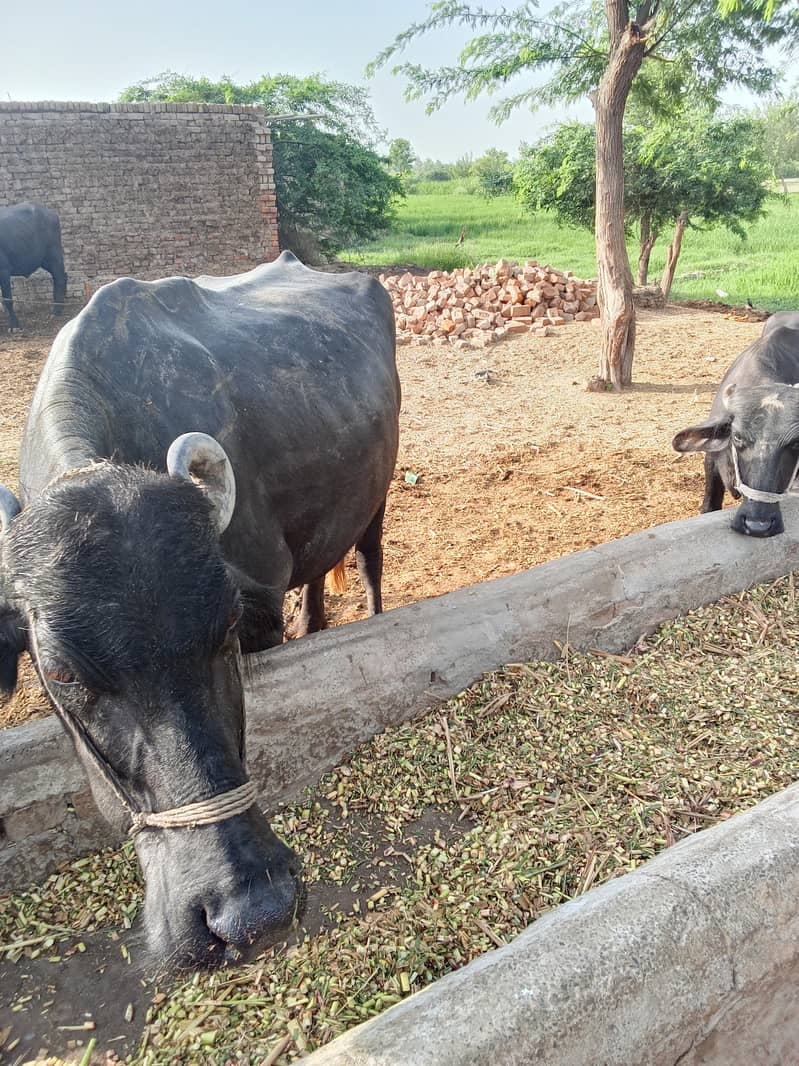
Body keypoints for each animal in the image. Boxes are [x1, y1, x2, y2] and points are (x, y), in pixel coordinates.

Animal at [0, 202, 67, 330]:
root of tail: (51, 213)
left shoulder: (4, 271)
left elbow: (7, 300)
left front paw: (14, 325)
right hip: (44, 260)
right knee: (63, 276)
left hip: (53, 254)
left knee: (60, 278)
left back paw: (56, 310)